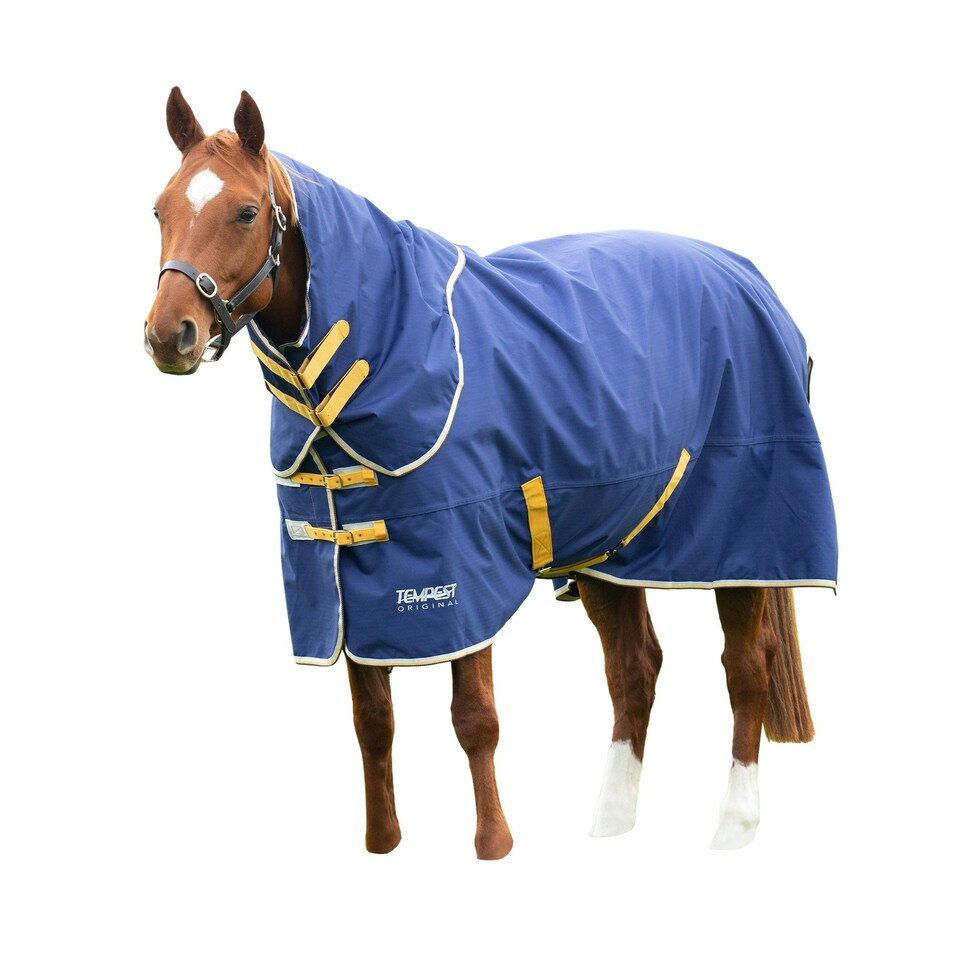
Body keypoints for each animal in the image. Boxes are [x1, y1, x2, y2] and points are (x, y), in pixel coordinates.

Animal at [145, 88, 836, 859]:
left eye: (244, 211)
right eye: (161, 210)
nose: (169, 335)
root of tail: (749, 276)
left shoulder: (457, 571)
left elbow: (474, 717)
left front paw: (493, 845)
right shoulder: (350, 580)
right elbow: (373, 722)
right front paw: (383, 843)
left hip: (740, 539)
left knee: (746, 669)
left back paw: (734, 825)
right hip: (613, 544)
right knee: (635, 672)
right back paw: (610, 822)